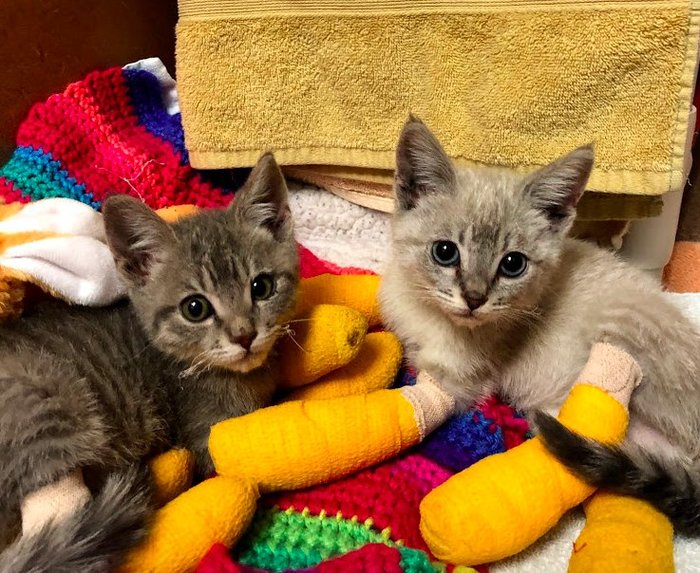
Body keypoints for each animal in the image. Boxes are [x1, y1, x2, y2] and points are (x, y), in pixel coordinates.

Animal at [380, 118, 700, 536]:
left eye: (513, 264)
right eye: (444, 252)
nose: (474, 298)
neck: (429, 313)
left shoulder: (458, 381)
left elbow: (414, 390)